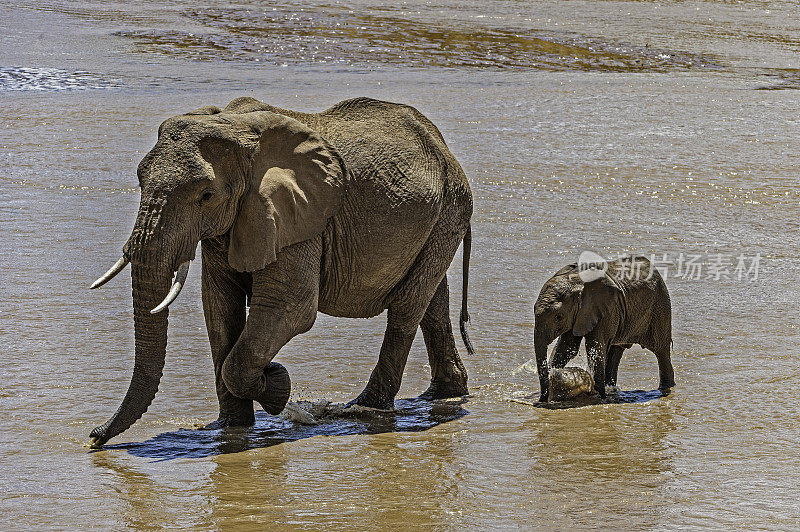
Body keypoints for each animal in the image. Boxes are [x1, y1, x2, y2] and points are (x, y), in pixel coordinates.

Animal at [87, 96, 476, 448]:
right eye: (140, 179)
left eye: (206, 195)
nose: (94, 437)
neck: (235, 128)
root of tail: (441, 144)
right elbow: (219, 307)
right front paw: (232, 426)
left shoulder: (298, 221)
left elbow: (290, 307)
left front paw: (278, 386)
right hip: (440, 219)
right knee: (432, 304)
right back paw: (442, 394)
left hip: (450, 211)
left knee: (407, 308)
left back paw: (365, 408)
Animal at [532, 256, 676, 402]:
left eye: (558, 317)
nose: (542, 399)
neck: (576, 280)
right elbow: (567, 347)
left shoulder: (605, 310)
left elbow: (594, 347)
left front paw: (597, 396)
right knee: (616, 349)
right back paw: (611, 389)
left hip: (660, 307)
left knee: (661, 351)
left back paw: (666, 387)